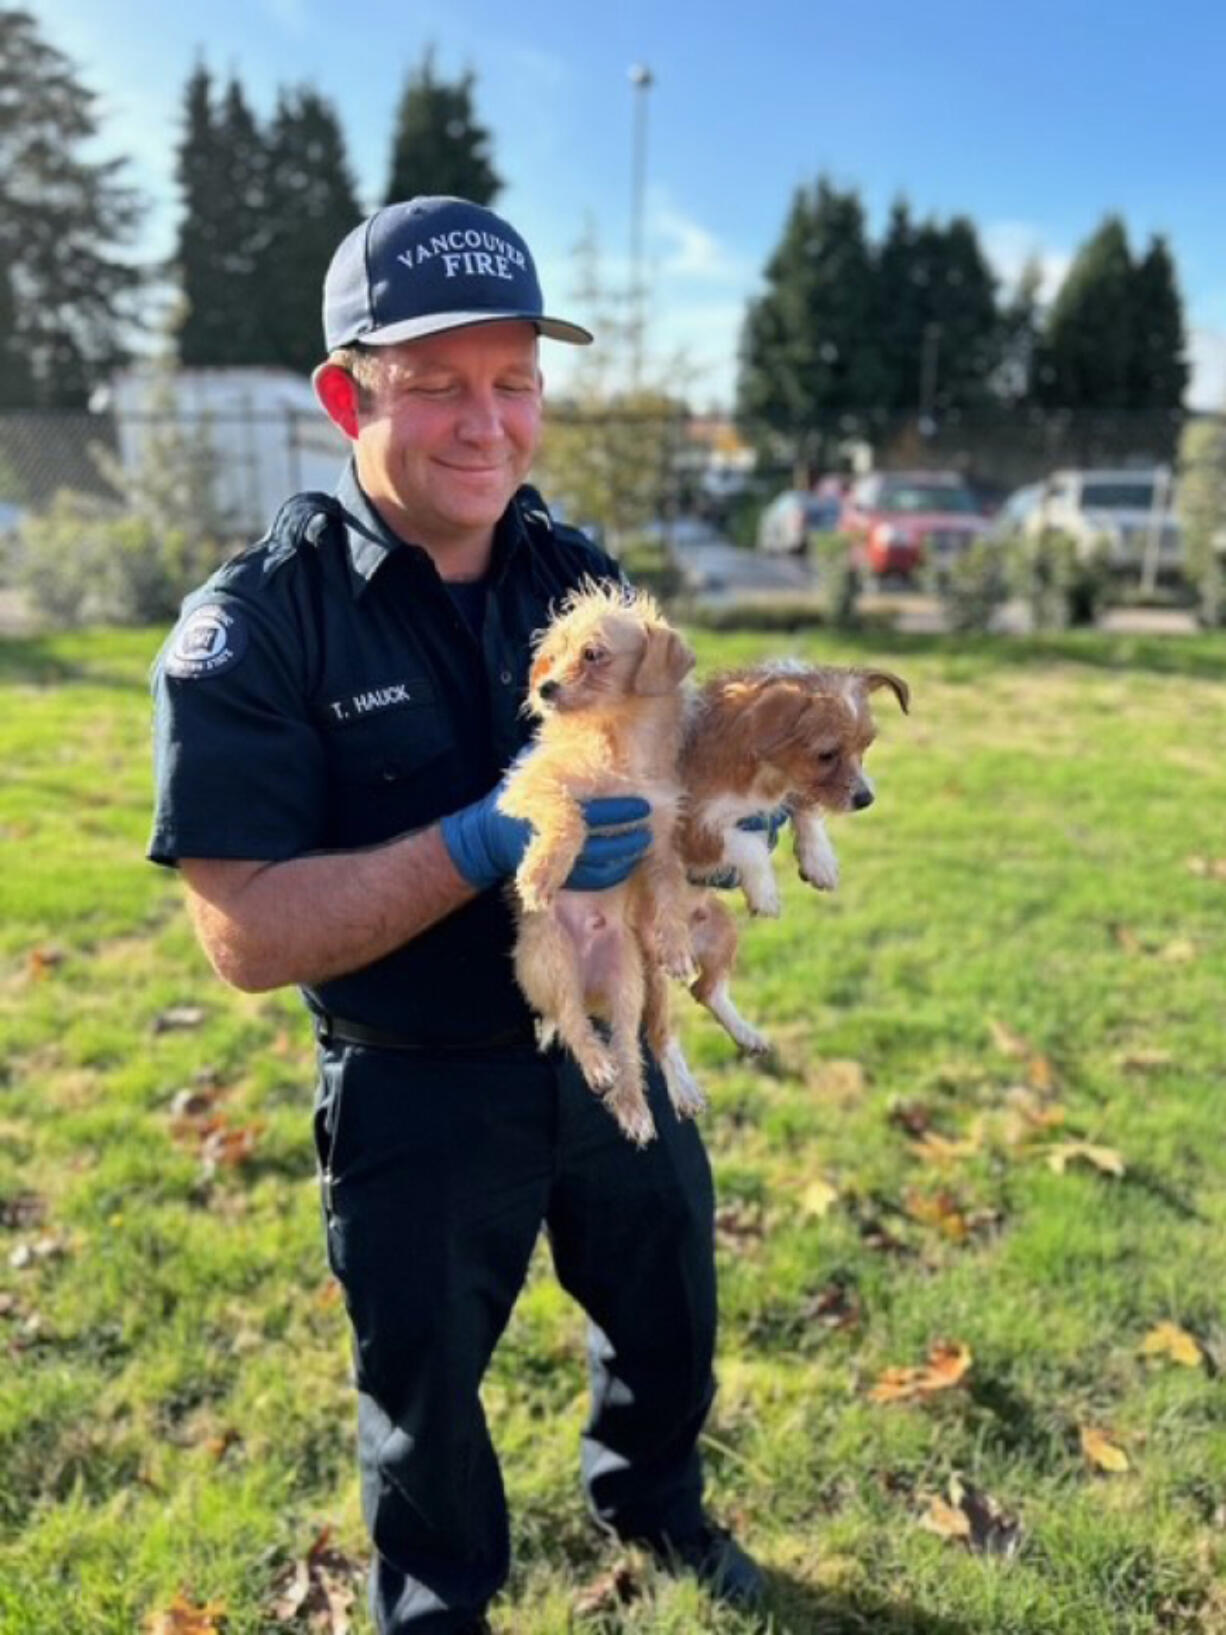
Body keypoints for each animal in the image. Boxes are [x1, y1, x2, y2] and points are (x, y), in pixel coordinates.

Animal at [496, 582, 699, 1144]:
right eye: (555, 654)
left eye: (593, 655)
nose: (544, 689)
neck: (618, 742)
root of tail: (590, 988)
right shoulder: (526, 789)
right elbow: (570, 815)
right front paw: (542, 871)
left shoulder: (658, 841)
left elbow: (671, 895)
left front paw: (677, 945)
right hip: (550, 957)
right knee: (569, 1020)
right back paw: (594, 1063)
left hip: (628, 980)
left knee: (627, 1045)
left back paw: (630, 1103)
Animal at [683, 667, 915, 1059]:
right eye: (826, 754)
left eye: (866, 746)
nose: (866, 799)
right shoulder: (682, 829)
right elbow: (745, 842)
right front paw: (765, 892)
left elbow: (802, 805)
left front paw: (819, 860)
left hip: (723, 930)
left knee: (703, 990)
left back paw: (748, 1036)